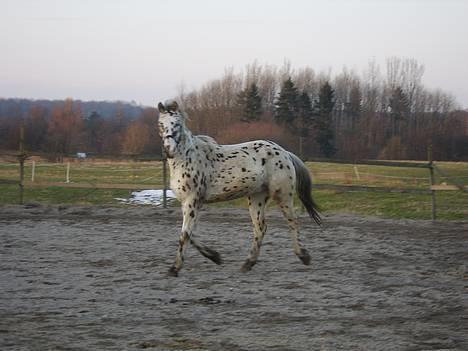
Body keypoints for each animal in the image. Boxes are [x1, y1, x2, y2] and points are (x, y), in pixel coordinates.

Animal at [158, 99, 322, 278]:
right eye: (161, 124)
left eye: (177, 124)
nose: (168, 149)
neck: (187, 158)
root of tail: (285, 153)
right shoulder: (187, 203)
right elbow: (189, 233)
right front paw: (215, 256)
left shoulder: (192, 200)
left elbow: (185, 234)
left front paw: (174, 268)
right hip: (257, 198)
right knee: (260, 228)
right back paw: (247, 263)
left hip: (283, 195)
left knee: (292, 222)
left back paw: (304, 256)